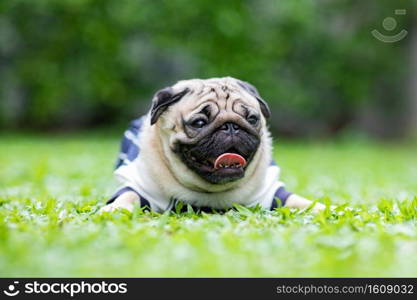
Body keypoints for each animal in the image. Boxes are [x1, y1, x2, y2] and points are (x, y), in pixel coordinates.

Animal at [101, 77, 324, 213]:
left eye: (252, 119)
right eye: (199, 123)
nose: (231, 126)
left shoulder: (271, 192)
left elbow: (299, 201)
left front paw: (324, 209)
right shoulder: (140, 187)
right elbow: (128, 196)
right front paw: (115, 209)